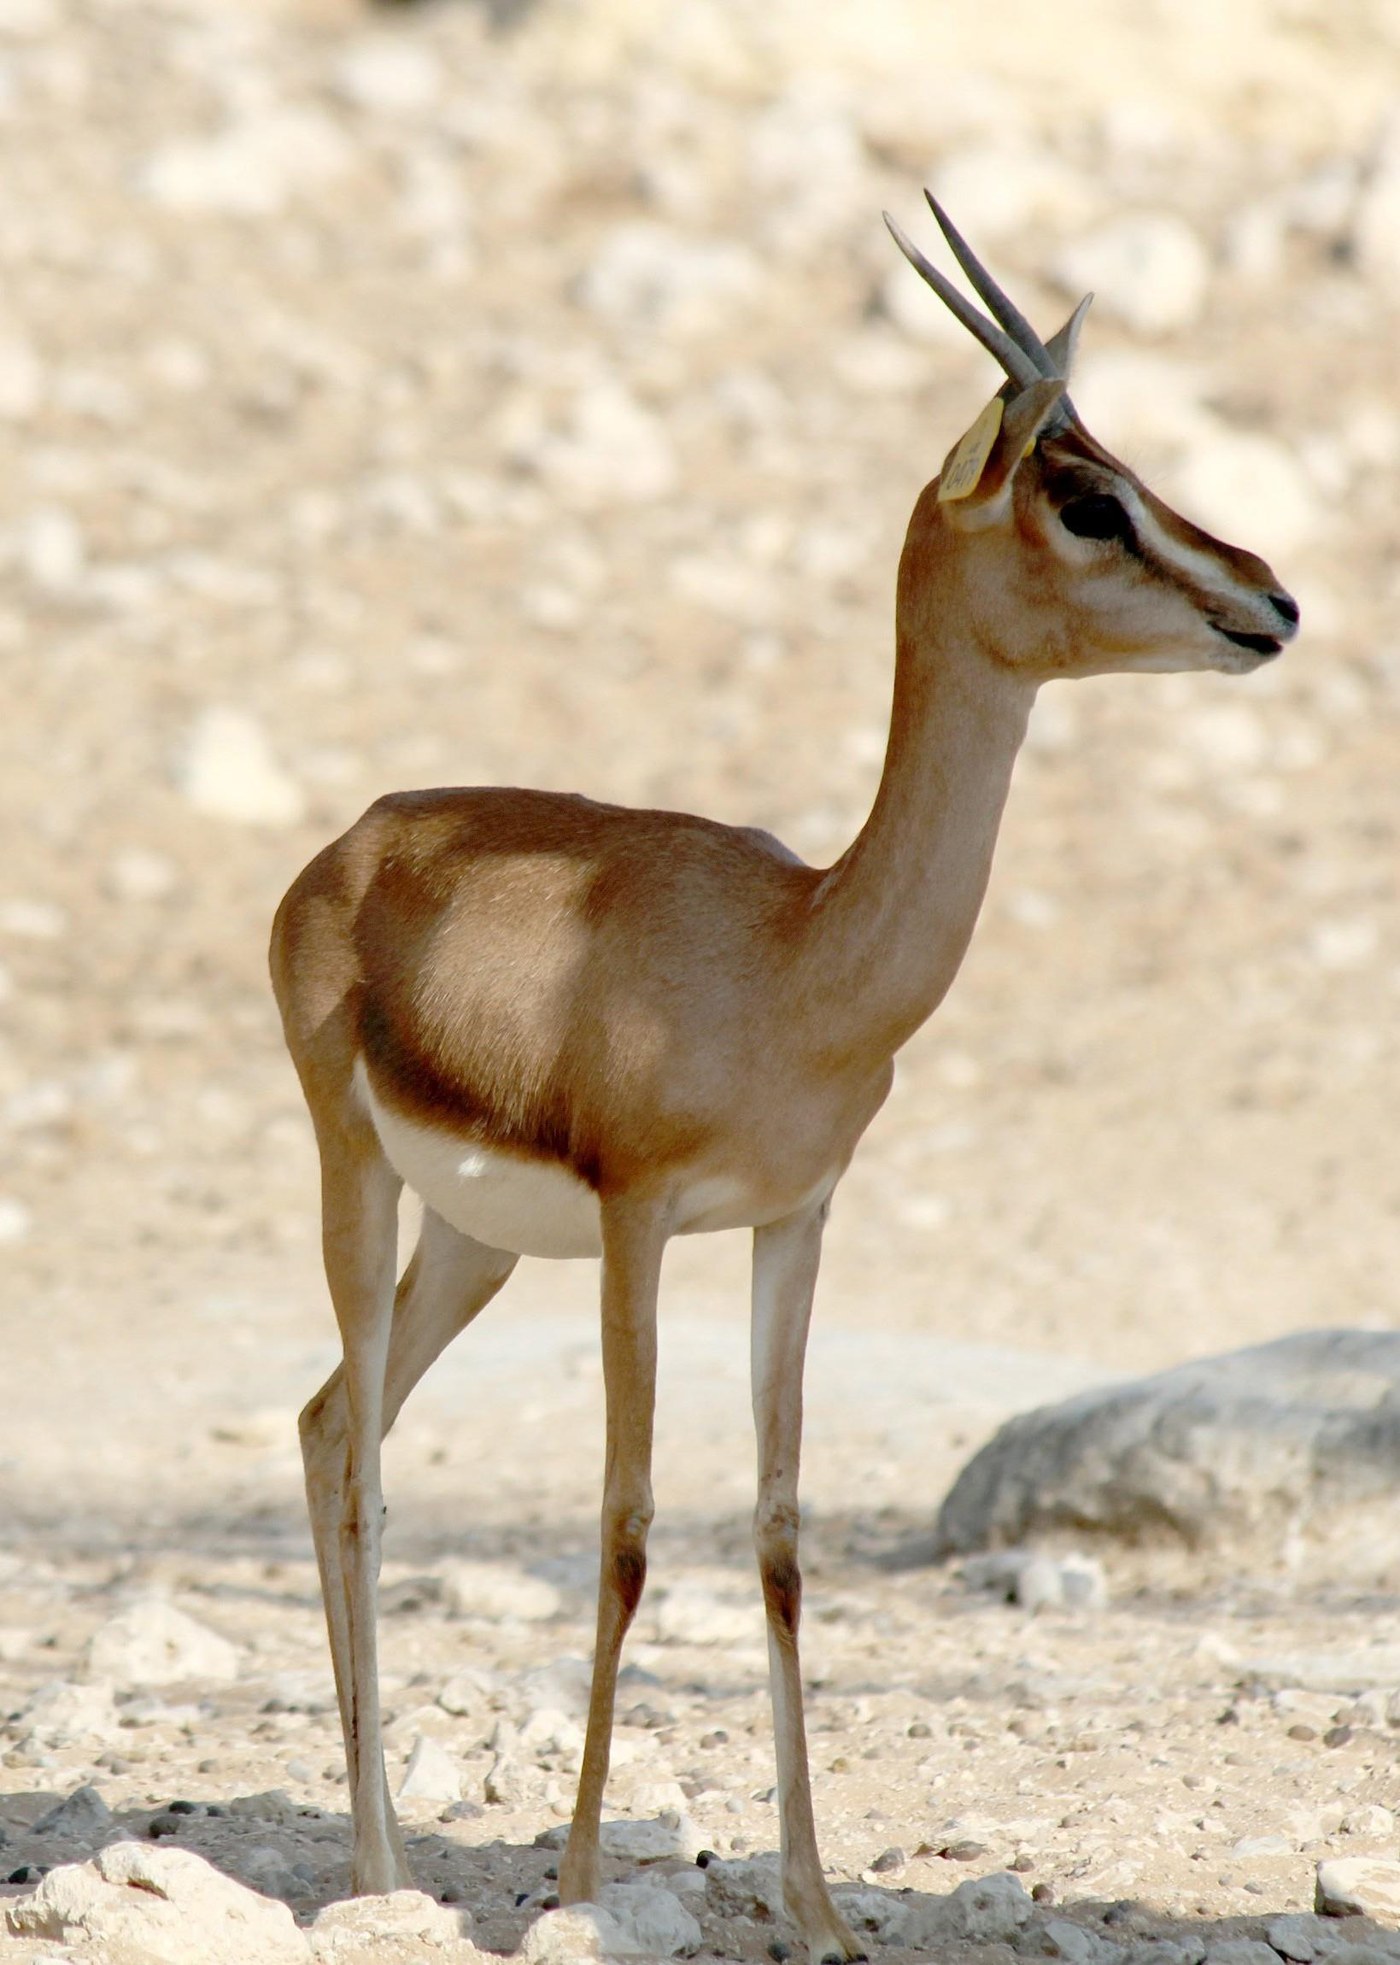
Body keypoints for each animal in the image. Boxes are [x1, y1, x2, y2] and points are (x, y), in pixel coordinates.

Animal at [270, 196, 1298, 1964]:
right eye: (1085, 495)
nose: (1271, 599)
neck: (800, 955)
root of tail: (350, 843)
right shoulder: (637, 1220)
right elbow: (622, 1529)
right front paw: (580, 1889)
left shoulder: (795, 1220)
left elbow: (777, 1531)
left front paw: (817, 1906)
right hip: (360, 1173)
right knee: (366, 1469)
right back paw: (381, 1874)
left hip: (470, 1243)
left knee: (338, 1421)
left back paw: (383, 1863)